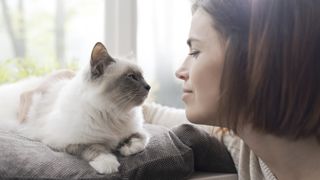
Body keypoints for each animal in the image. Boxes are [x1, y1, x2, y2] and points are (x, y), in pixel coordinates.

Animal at [0, 42, 151, 174]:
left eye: (142, 77)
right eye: (132, 77)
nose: (148, 86)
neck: (114, 114)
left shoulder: (134, 130)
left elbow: (141, 138)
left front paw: (127, 148)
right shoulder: (70, 142)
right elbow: (95, 148)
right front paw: (108, 164)